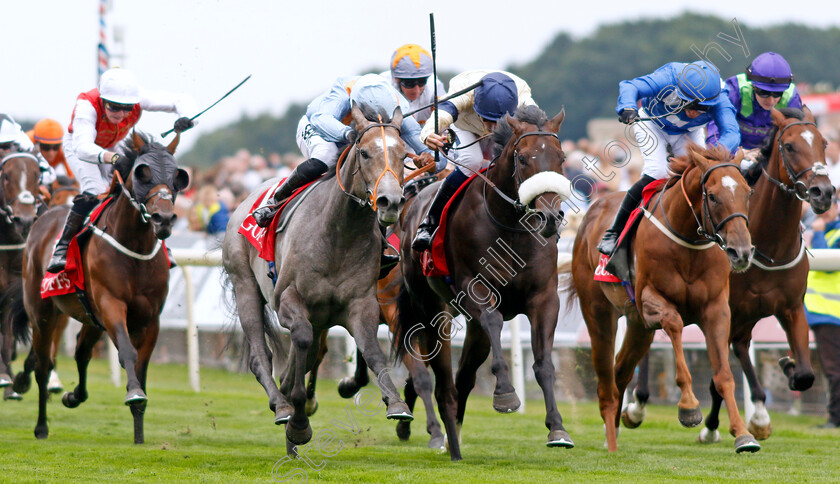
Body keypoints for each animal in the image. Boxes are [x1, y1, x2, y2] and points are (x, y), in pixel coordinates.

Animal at [11, 132, 189, 442]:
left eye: (177, 175)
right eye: (143, 173)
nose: (164, 219)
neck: (134, 246)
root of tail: (42, 217)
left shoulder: (150, 319)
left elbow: (141, 365)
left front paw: (139, 433)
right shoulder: (111, 304)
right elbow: (127, 352)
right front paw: (134, 394)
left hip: (91, 318)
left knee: (81, 353)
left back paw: (74, 396)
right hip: (42, 312)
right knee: (43, 365)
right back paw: (41, 426)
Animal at [394, 107, 572, 462]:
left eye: (560, 158)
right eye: (523, 159)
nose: (549, 218)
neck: (512, 228)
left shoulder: (545, 297)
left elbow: (544, 363)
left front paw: (557, 428)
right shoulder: (473, 288)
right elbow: (492, 319)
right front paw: (505, 395)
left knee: (462, 378)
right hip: (432, 310)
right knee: (440, 379)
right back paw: (448, 440)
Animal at [568, 144, 756, 454]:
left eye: (747, 192)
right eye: (713, 196)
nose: (741, 252)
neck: (688, 242)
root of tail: (591, 211)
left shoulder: (716, 309)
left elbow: (724, 374)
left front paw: (743, 434)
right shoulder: (649, 301)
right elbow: (675, 324)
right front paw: (689, 407)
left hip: (637, 327)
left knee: (620, 371)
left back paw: (616, 428)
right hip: (598, 313)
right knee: (605, 378)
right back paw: (611, 440)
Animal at [624, 106, 832, 442]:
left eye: (824, 143)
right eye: (789, 146)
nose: (823, 192)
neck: (770, 245)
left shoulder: (790, 307)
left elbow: (804, 374)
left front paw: (786, 369)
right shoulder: (729, 308)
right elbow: (716, 372)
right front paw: (712, 426)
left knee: (740, 347)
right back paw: (638, 404)